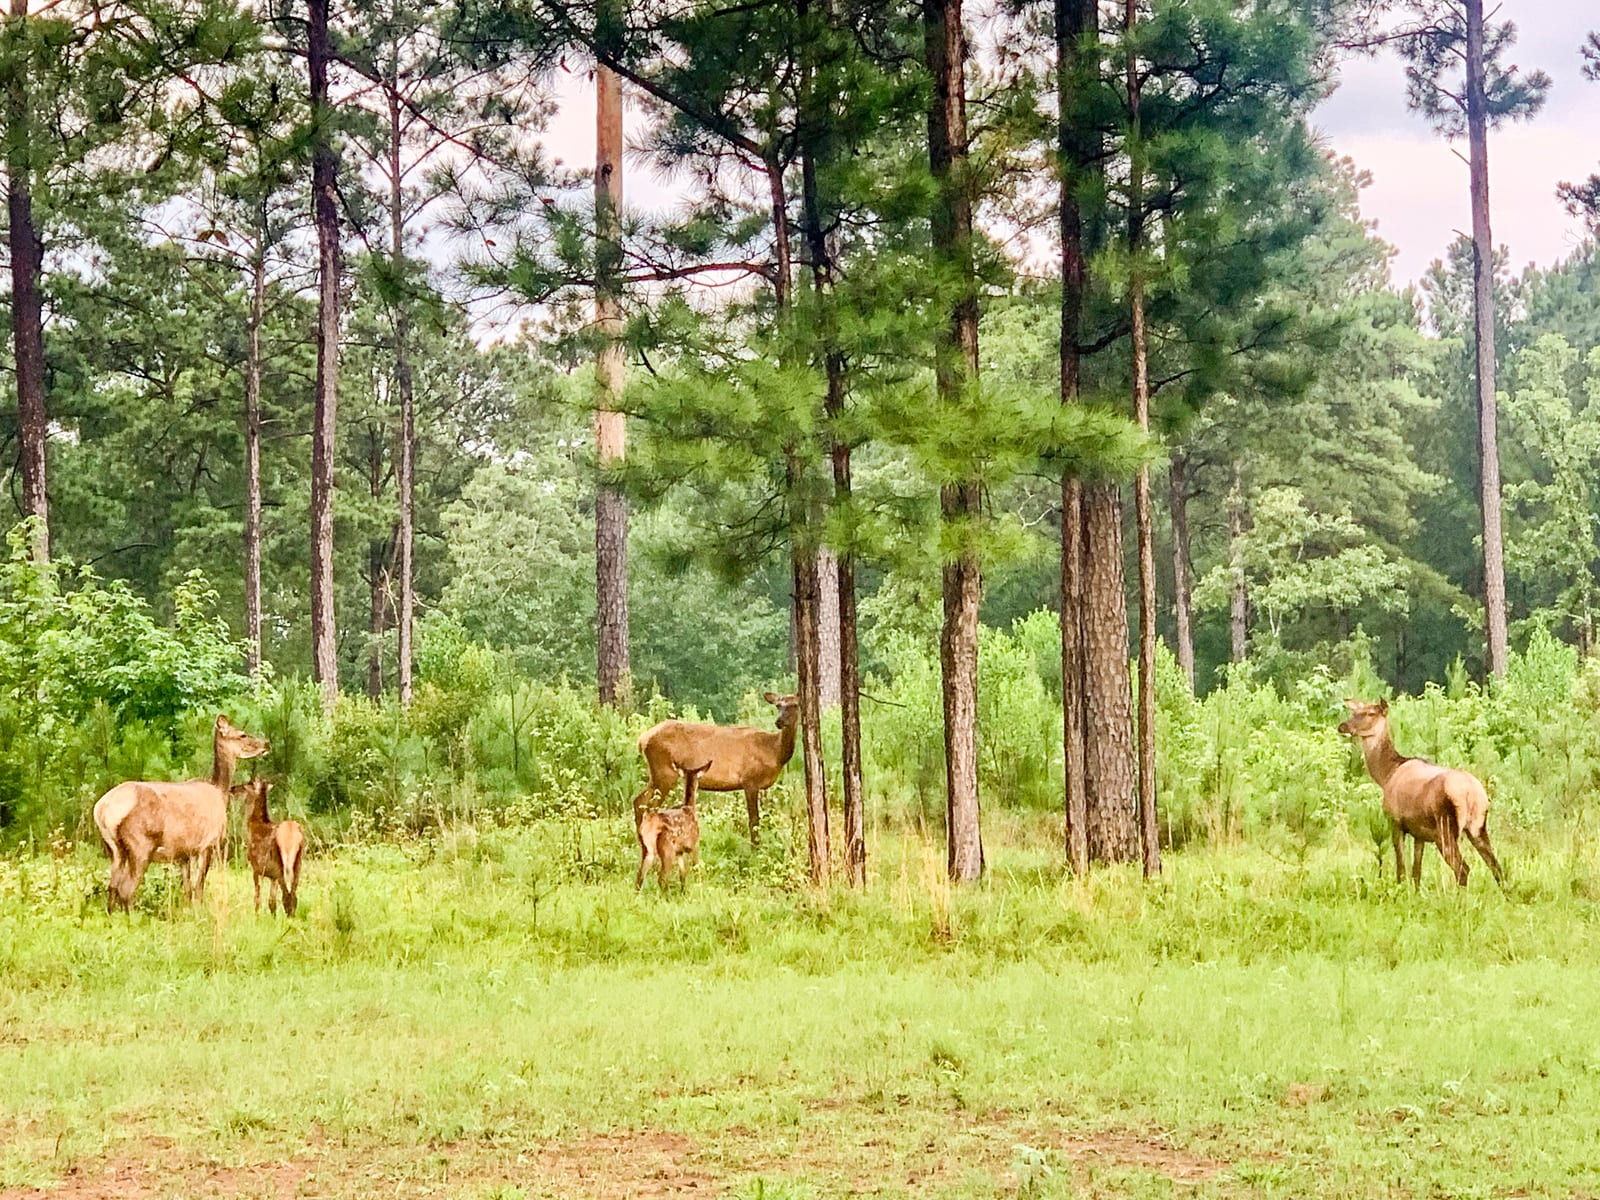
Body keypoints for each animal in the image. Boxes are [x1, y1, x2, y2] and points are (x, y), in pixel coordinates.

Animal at [92, 714, 269, 912]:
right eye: (242, 734)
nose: (266, 744)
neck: (219, 792)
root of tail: (102, 810)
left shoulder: (183, 854)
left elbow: (187, 890)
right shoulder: (209, 843)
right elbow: (199, 887)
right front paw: (199, 911)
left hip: (114, 848)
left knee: (112, 887)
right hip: (140, 844)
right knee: (126, 890)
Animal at [233, 777, 304, 916]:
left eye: (247, 784)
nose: (232, 789)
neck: (254, 827)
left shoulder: (256, 868)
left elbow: (257, 899)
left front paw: (256, 917)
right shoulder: (272, 876)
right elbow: (272, 903)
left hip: (280, 864)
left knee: (286, 896)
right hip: (298, 862)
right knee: (293, 895)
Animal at [632, 692, 799, 845]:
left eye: (795, 705)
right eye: (778, 705)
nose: (779, 721)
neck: (774, 752)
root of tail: (642, 739)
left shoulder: (762, 786)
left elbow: (765, 817)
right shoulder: (749, 781)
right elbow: (754, 820)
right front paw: (755, 848)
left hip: (657, 774)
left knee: (639, 801)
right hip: (664, 772)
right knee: (649, 807)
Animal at [636, 759, 708, 892]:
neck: (690, 809)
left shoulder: (679, 851)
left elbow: (682, 874)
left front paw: (683, 892)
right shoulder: (693, 844)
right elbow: (696, 869)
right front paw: (699, 887)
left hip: (648, 849)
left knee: (639, 878)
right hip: (667, 848)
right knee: (661, 879)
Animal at [1339, 698, 1504, 889]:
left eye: (1370, 713)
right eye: (1354, 712)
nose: (1342, 726)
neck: (1386, 775)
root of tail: (1472, 794)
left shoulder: (1395, 821)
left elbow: (1401, 869)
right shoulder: (1419, 833)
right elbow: (1416, 873)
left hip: (1445, 827)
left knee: (1463, 869)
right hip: (1478, 826)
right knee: (1497, 868)